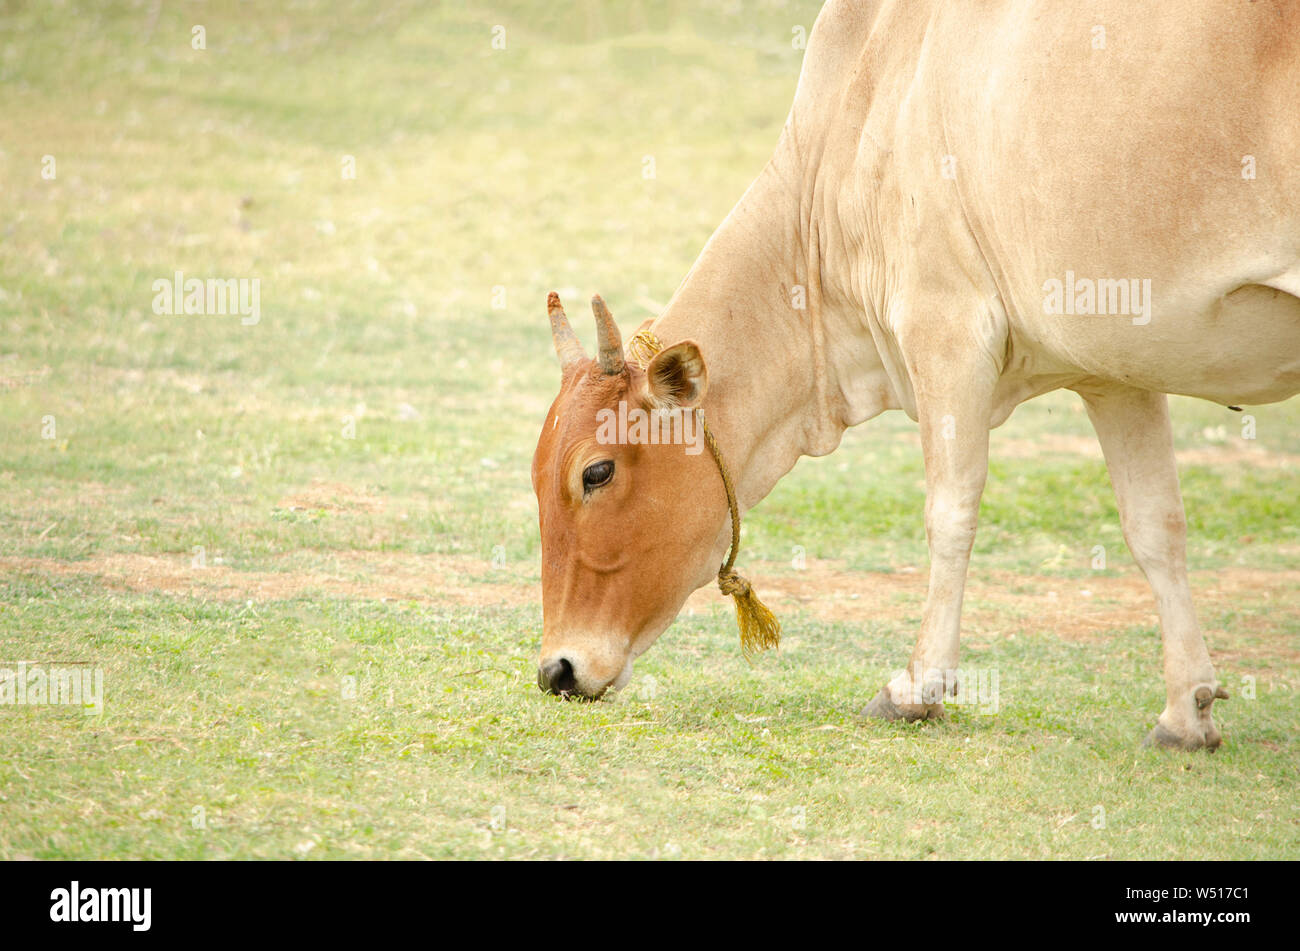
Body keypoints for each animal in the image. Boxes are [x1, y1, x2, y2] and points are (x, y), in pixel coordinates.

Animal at [531, 0, 1300, 751]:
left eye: (596, 471)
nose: (557, 669)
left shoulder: (946, 328)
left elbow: (949, 512)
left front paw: (915, 687)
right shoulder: (1114, 373)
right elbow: (1155, 525)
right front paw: (1185, 712)